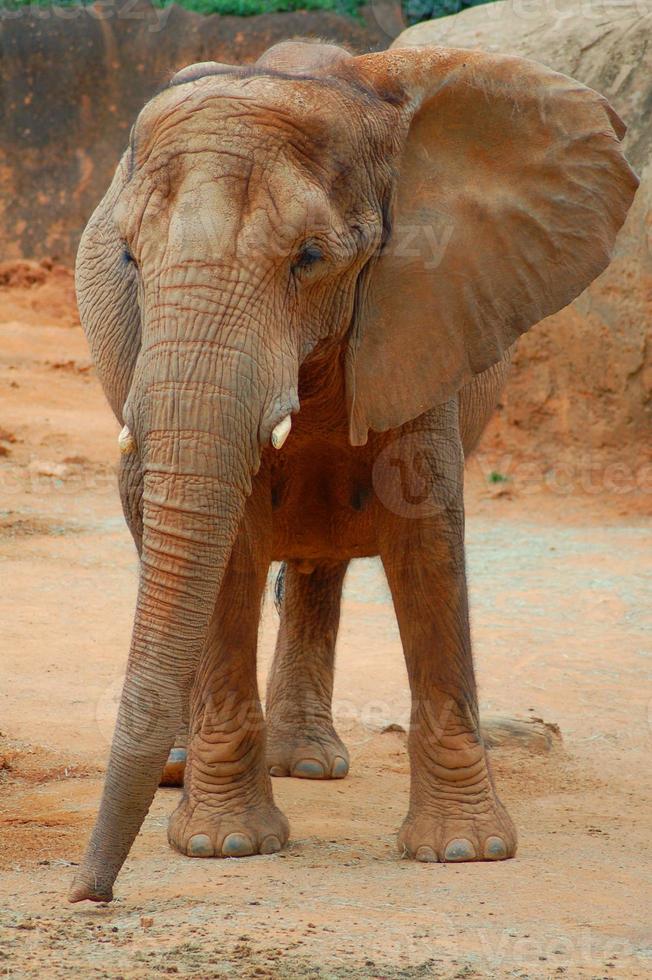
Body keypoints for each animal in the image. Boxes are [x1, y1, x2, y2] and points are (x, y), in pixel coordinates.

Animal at [70, 38, 636, 900]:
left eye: (309, 259)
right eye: (130, 259)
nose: (88, 894)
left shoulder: (427, 308)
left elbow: (426, 535)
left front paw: (465, 852)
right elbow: (229, 541)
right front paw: (223, 846)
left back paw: (307, 764)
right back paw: (190, 769)